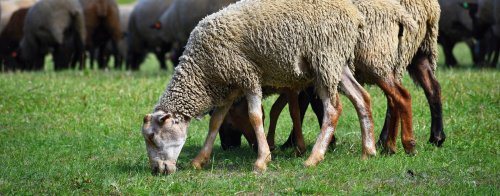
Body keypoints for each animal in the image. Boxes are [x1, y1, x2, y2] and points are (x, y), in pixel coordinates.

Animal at [141, 0, 364, 175]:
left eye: (152, 137)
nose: (156, 171)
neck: (202, 71)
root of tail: (354, 14)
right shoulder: (229, 88)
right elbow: (215, 122)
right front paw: (199, 160)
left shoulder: (247, 77)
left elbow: (255, 117)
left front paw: (262, 160)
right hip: (336, 64)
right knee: (361, 97)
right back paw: (367, 151)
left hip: (324, 61)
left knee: (333, 109)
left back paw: (314, 158)